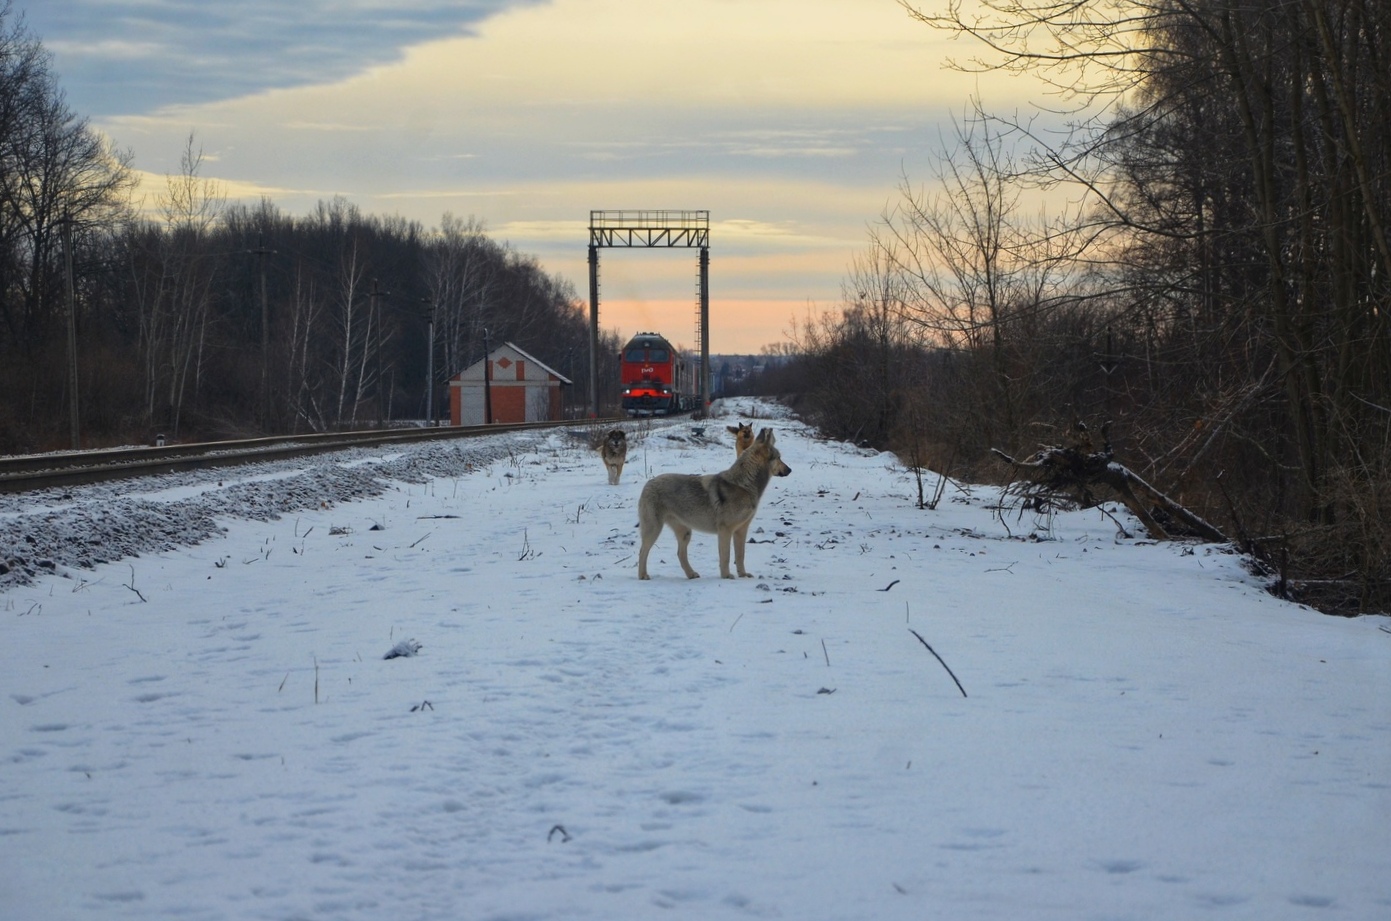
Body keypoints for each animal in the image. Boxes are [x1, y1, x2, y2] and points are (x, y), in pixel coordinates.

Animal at [637, 428, 790, 584]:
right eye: (779, 457)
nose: (789, 470)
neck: (744, 485)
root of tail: (648, 483)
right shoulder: (725, 530)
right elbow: (726, 556)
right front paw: (726, 576)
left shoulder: (740, 530)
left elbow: (740, 556)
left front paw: (743, 575)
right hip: (654, 529)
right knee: (642, 551)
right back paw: (643, 575)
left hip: (685, 533)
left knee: (680, 554)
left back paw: (691, 574)